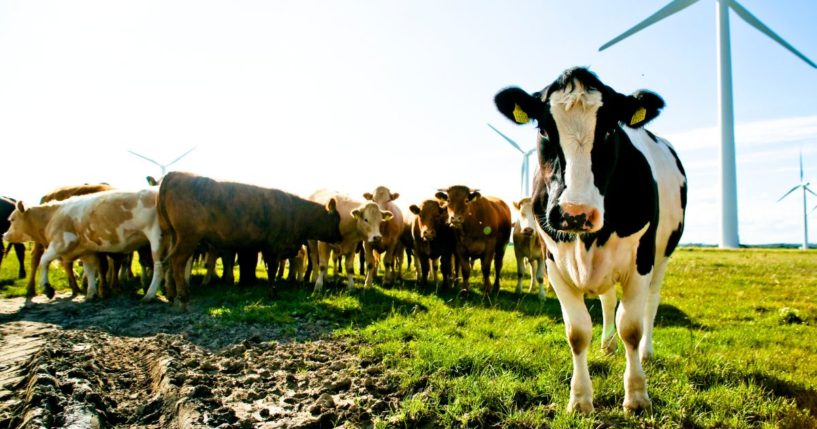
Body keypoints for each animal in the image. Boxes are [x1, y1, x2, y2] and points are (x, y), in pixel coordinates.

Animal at [2, 189, 165, 302]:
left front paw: (47, 288)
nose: (4, 235)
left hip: (157, 239)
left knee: (159, 266)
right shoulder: (86, 250)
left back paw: (149, 295)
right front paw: (91, 293)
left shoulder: (61, 243)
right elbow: (90, 269)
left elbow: (44, 260)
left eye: (12, 219)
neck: (54, 215)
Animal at [158, 171, 340, 308]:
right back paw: (183, 297)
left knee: (167, 262)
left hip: (174, 236)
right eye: (337, 219)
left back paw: (171, 294)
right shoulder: (273, 247)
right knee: (177, 261)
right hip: (188, 237)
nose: (340, 237)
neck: (295, 211)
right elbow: (272, 270)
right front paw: (273, 292)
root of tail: (175, 174)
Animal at [494, 67, 684, 414]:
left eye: (610, 130)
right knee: (608, 302)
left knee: (651, 303)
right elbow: (578, 332)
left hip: (662, 254)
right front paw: (580, 398)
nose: (574, 213)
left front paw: (637, 395)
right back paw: (607, 344)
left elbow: (631, 328)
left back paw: (646, 352)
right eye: (543, 128)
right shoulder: (554, 265)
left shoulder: (641, 260)